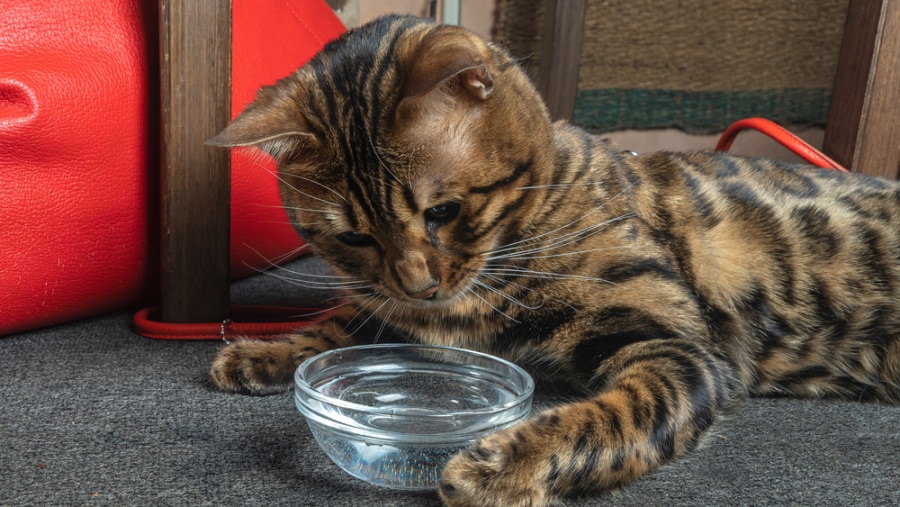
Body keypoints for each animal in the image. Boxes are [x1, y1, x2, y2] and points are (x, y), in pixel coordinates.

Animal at [206, 13, 900, 506]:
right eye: (354, 237)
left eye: (442, 211)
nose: (419, 285)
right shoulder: (399, 308)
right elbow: (342, 324)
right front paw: (264, 350)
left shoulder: (679, 347)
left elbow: (616, 416)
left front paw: (507, 464)